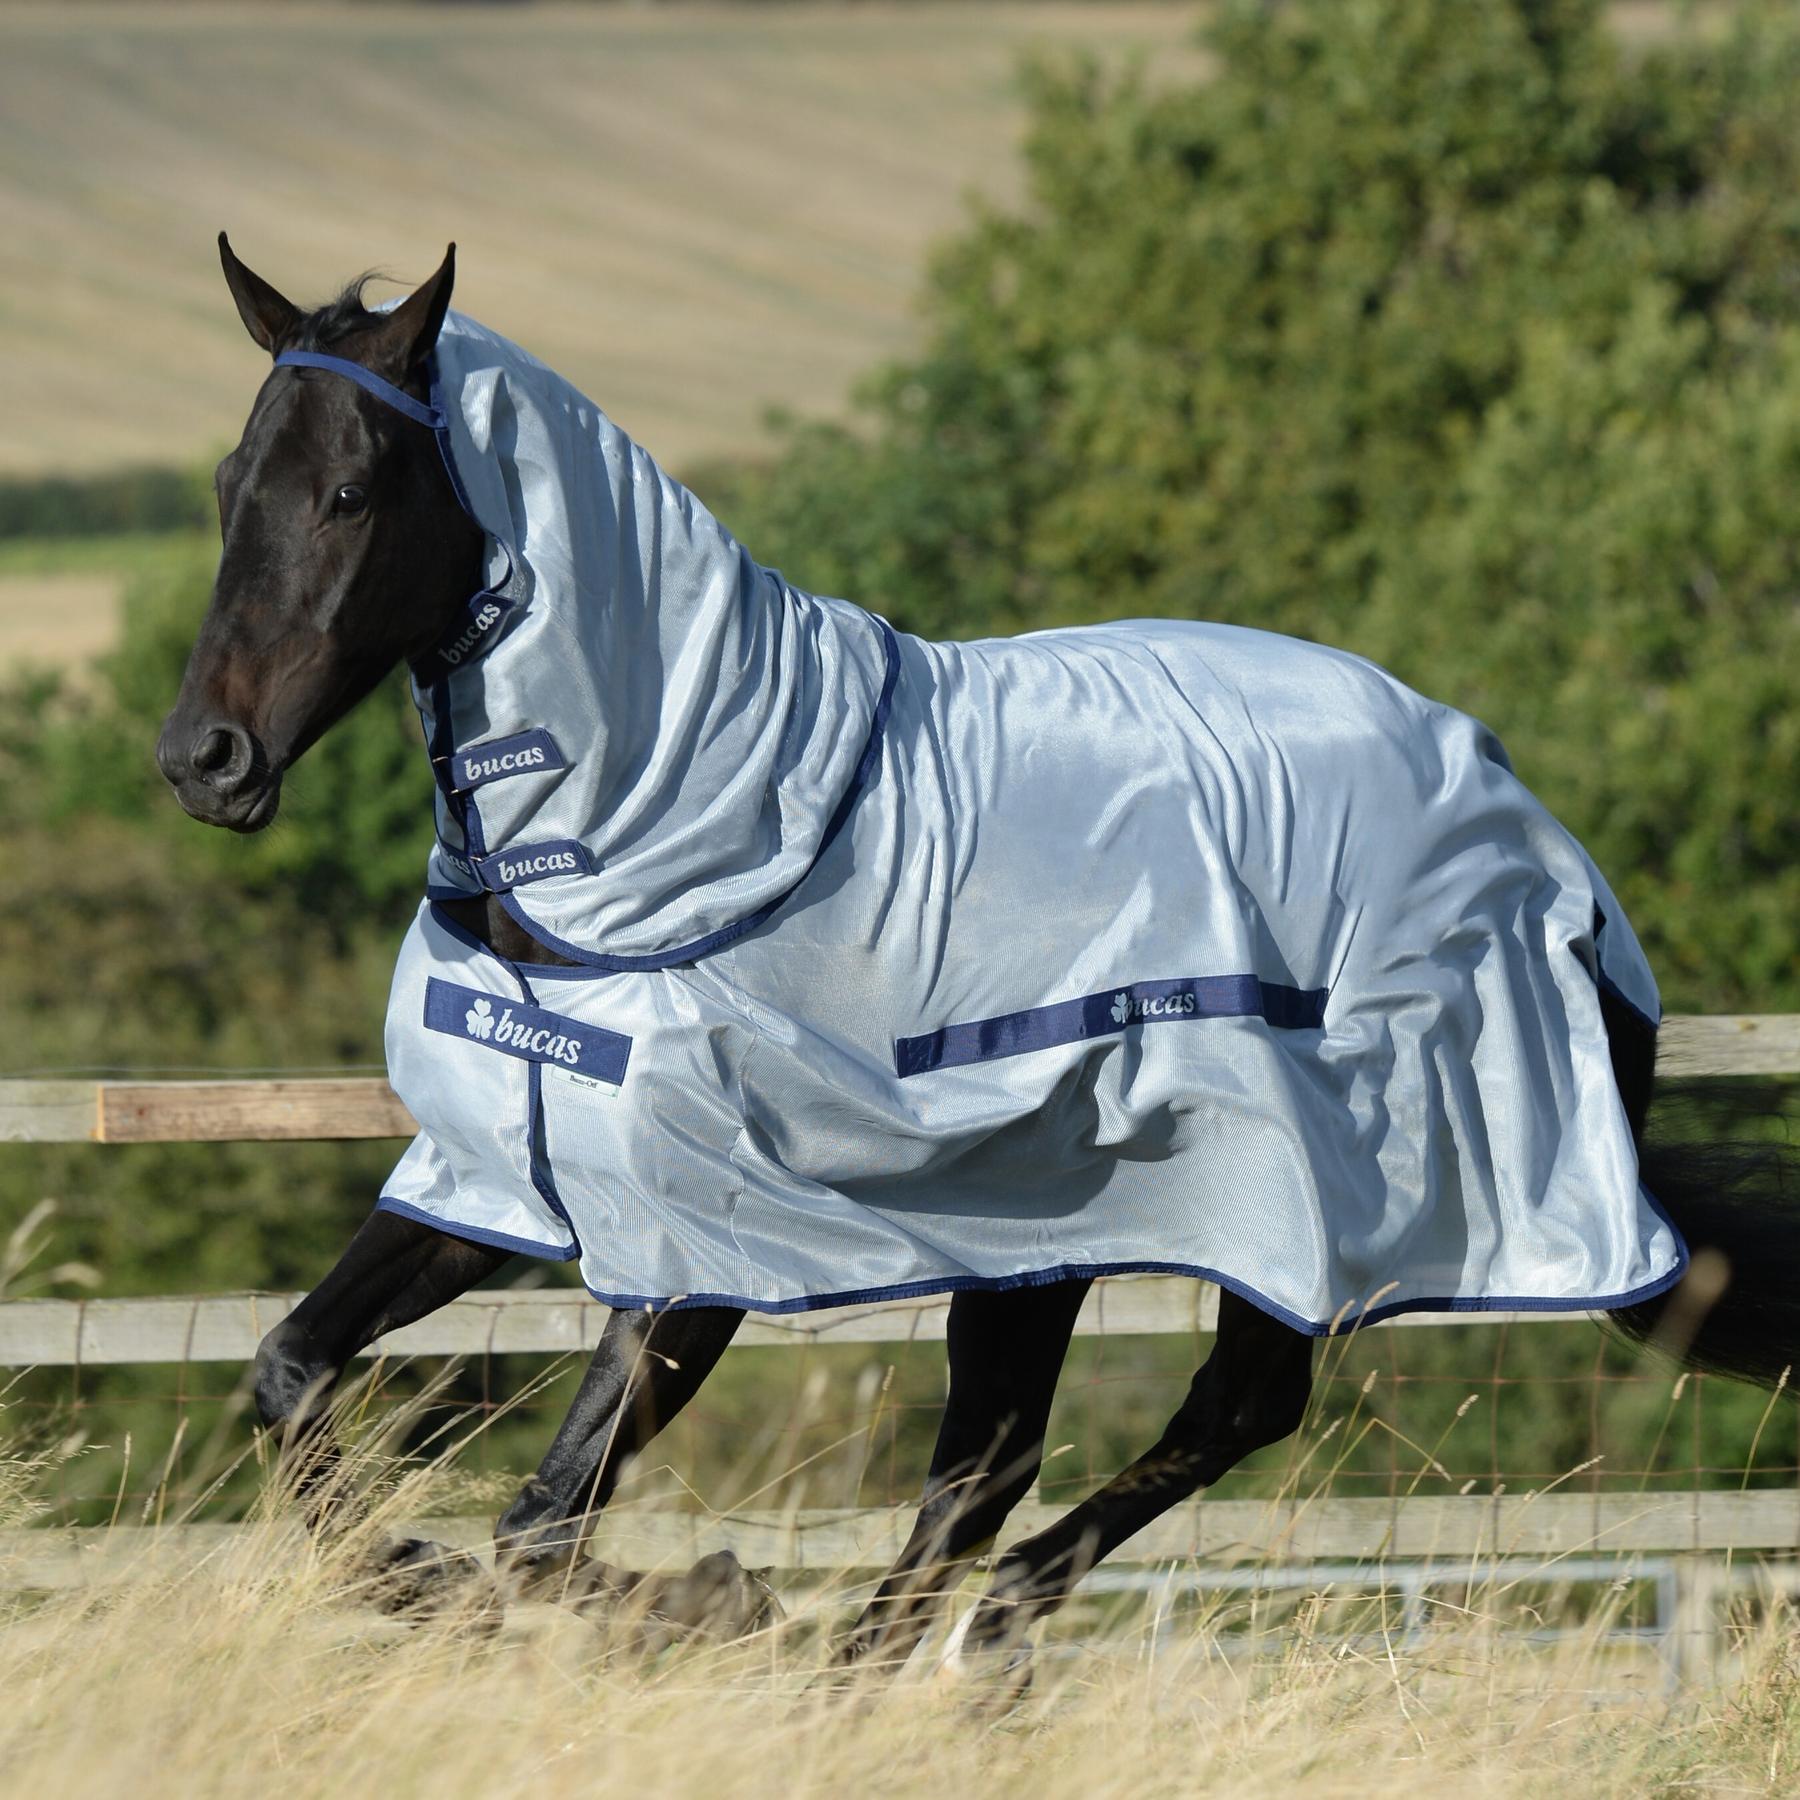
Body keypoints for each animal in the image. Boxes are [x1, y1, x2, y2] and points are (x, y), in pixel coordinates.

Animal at [158, 237, 1798, 1674]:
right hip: (1033, 1237)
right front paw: (408, 1567)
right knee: (995, 1465)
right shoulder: (503, 1175)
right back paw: (899, 1652)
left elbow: (537, 1527)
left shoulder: (700, 1251)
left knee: (1222, 1410)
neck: (663, 838)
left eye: (351, 492)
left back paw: (940, 1637)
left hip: (1269, 1206)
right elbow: (294, 1377)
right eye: (233, 484)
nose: (203, 759)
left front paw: (708, 1599)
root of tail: (1558, 863)